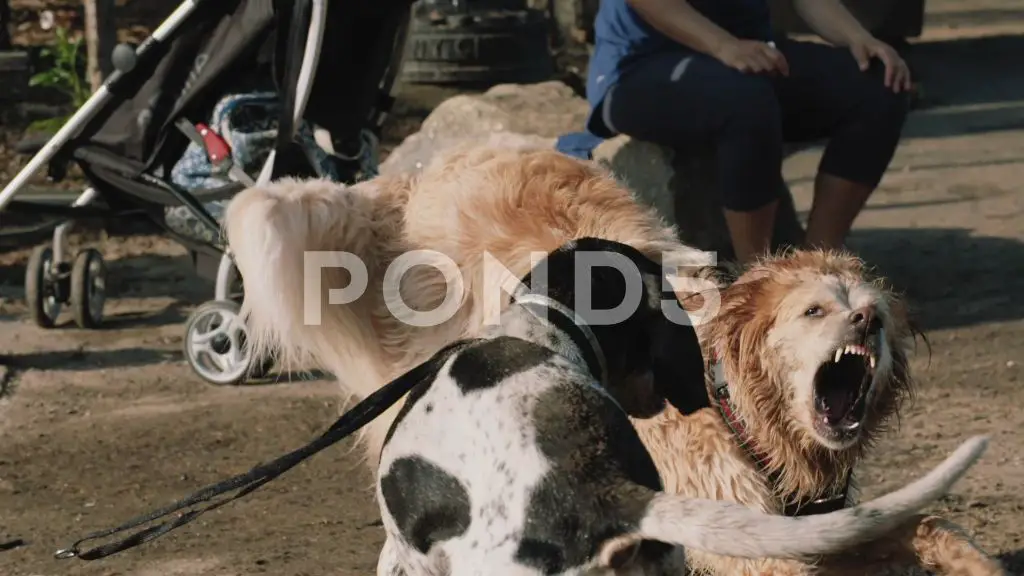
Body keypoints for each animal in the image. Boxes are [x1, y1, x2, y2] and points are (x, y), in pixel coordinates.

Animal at [376, 236, 991, 573]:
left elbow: (926, 526)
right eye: (814, 311)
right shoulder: (764, 551)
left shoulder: (805, 532)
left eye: (878, 315)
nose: (866, 320)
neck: (738, 411)